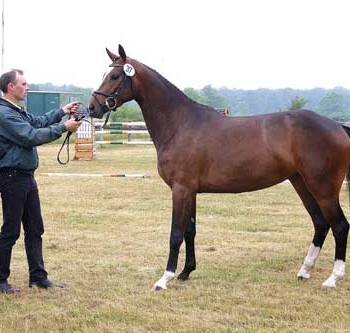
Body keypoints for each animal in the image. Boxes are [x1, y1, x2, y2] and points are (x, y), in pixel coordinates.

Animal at [88, 43, 350, 288]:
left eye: (115, 76)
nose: (92, 107)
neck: (180, 123)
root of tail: (337, 126)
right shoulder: (190, 191)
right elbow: (190, 231)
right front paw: (186, 272)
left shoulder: (181, 189)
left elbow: (175, 234)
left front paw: (165, 278)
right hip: (301, 184)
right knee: (321, 223)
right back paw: (305, 270)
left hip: (323, 189)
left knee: (339, 226)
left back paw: (333, 278)